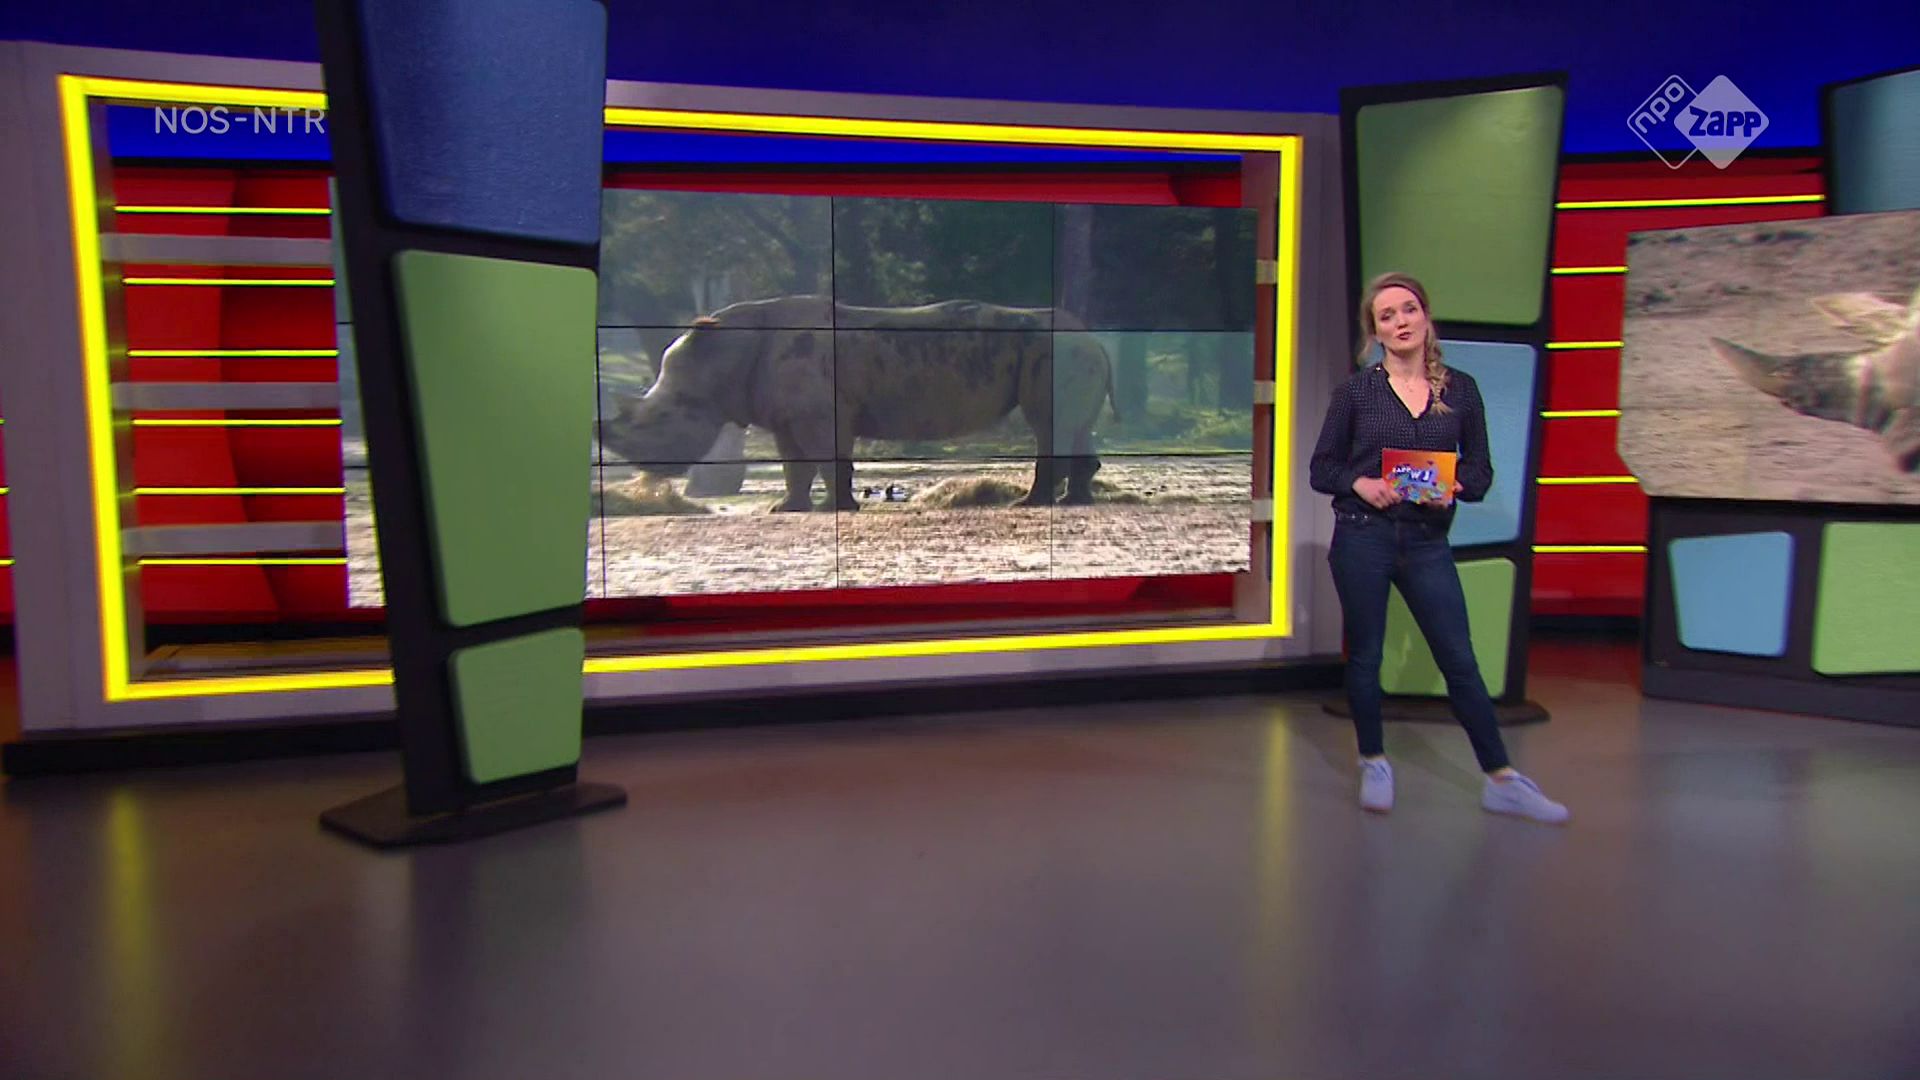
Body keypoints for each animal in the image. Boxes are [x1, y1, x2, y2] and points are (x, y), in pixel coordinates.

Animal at [598, 296, 1120, 510]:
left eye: (667, 415)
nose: (644, 470)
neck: (722, 354)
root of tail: (1097, 340)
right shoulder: (787, 416)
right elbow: (795, 464)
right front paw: (787, 510)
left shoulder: (817, 412)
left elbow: (827, 459)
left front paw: (837, 509)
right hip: (1067, 354)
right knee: (1070, 426)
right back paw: (1075, 502)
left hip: (1058, 352)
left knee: (1047, 422)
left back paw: (1028, 504)